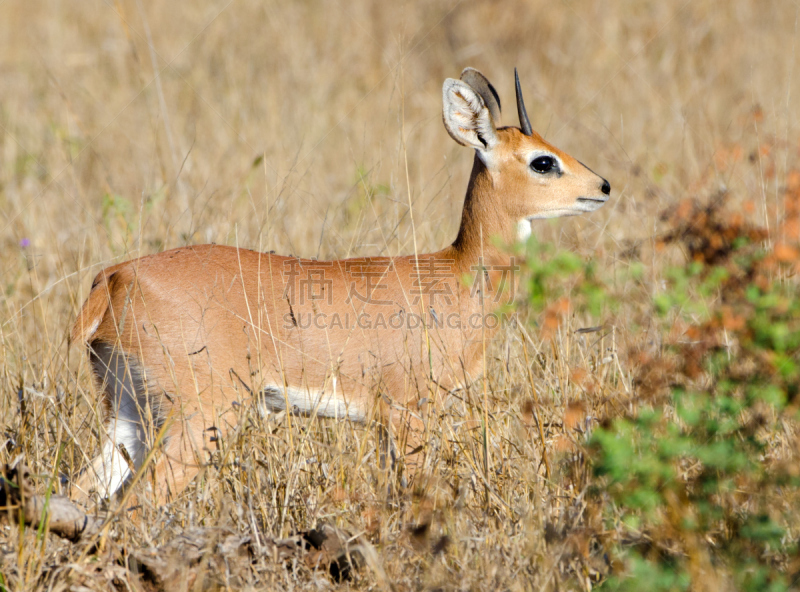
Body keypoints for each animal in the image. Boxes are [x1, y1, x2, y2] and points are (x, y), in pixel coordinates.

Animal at [72, 69, 608, 504]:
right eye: (542, 162)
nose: (603, 186)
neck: (453, 273)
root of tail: (115, 277)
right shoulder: (407, 412)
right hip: (197, 420)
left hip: (129, 415)